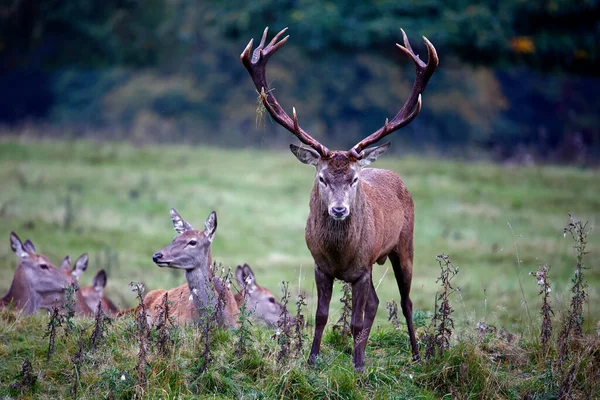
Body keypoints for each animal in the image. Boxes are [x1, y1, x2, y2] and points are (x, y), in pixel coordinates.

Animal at [241, 26, 438, 370]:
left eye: (354, 178)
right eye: (321, 177)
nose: (339, 210)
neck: (340, 255)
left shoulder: (362, 267)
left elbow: (356, 320)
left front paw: (357, 368)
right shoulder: (320, 266)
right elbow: (321, 315)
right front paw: (312, 360)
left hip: (404, 244)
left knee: (406, 301)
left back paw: (413, 355)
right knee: (376, 302)